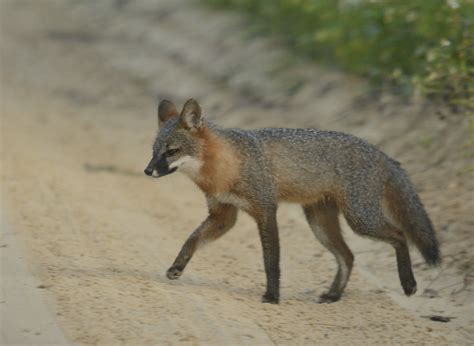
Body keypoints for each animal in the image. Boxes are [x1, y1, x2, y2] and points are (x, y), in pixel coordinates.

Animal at [143, 98, 440, 304]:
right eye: (154, 151)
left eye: (171, 152)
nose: (147, 171)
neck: (226, 166)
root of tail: (381, 153)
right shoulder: (223, 216)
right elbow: (191, 239)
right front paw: (177, 267)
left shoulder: (265, 210)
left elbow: (271, 260)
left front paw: (272, 296)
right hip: (321, 225)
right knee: (349, 256)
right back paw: (333, 296)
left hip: (360, 220)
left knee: (399, 235)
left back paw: (408, 283)